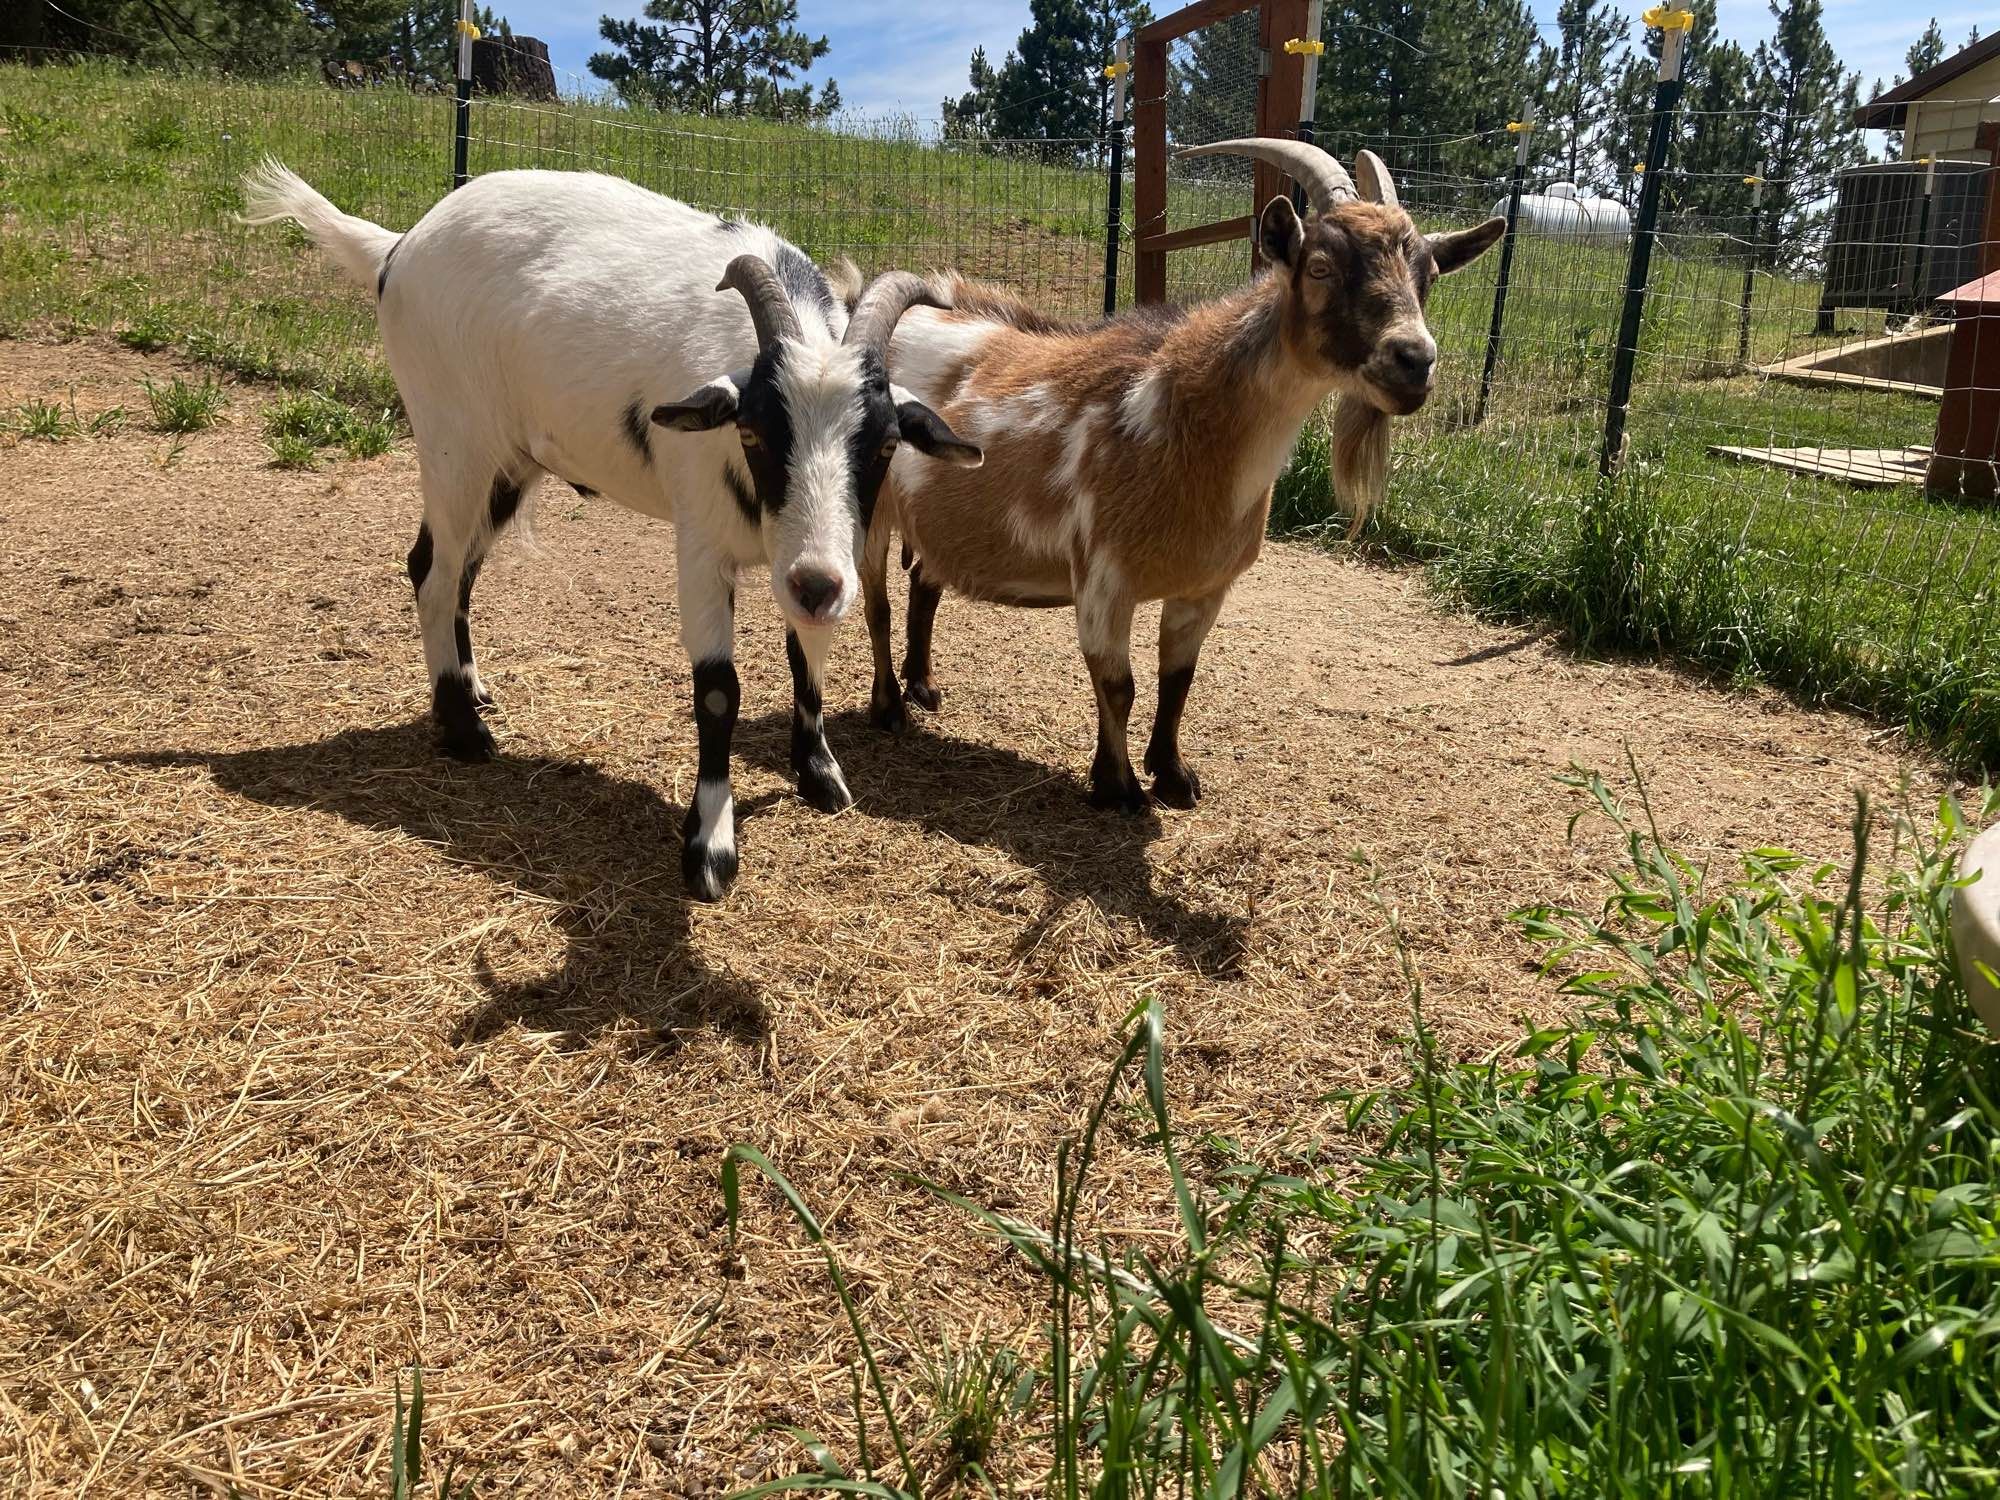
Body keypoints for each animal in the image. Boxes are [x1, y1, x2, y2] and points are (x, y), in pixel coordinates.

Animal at [242, 160, 984, 900]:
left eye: (884, 444)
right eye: (751, 431)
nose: (817, 584)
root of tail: (396, 247)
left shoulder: (815, 555)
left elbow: (808, 655)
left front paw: (819, 773)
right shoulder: (704, 545)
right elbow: (719, 690)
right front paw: (710, 848)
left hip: (509, 464)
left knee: (462, 575)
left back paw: (475, 692)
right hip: (454, 441)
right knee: (433, 570)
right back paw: (462, 731)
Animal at [864, 144, 1504, 812]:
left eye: (1427, 277)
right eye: (1321, 266)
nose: (1414, 362)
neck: (1182, 421)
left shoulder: (1205, 585)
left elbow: (1178, 679)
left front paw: (1172, 775)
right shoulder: (1104, 578)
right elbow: (1118, 685)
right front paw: (1117, 787)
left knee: (925, 579)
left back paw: (923, 686)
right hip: (869, 507)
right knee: (876, 603)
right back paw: (889, 708)